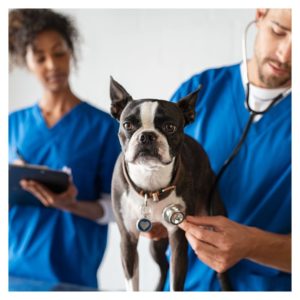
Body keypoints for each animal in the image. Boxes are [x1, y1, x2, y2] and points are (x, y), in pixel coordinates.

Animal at [110, 77, 230, 290]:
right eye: (127, 125)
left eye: (170, 127)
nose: (147, 135)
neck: (150, 183)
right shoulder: (128, 240)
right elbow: (132, 283)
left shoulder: (178, 239)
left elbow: (176, 282)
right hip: (156, 244)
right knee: (163, 266)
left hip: (213, 225)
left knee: (220, 271)